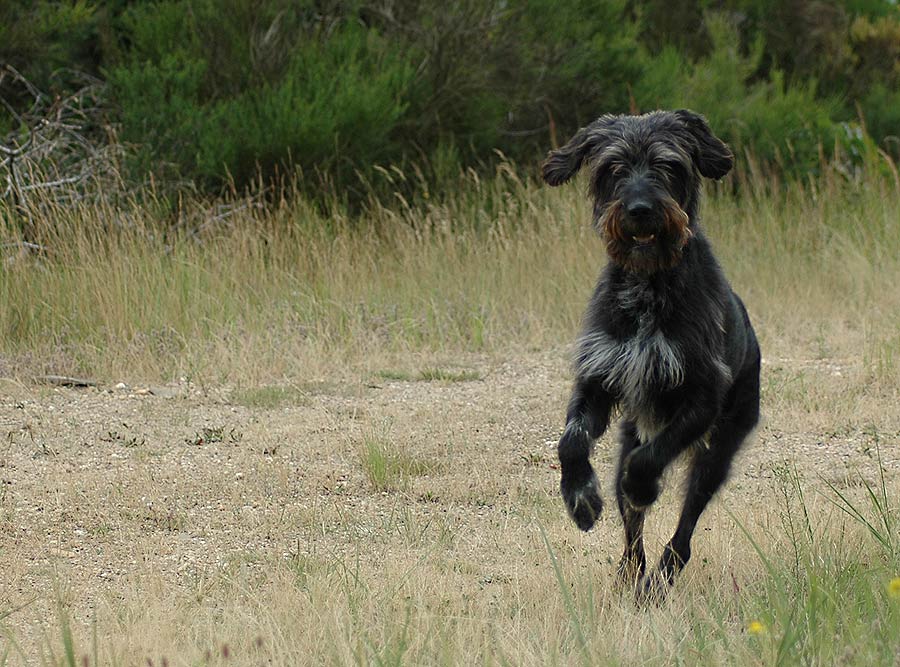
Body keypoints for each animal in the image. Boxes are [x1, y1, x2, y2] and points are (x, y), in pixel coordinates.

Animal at [540, 111, 760, 604]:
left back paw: (661, 576)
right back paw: (631, 573)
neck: (648, 281)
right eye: (614, 168)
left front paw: (643, 486)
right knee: (632, 531)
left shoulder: (701, 396)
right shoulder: (597, 380)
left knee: (684, 528)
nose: (640, 209)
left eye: (667, 165)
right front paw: (580, 497)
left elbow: (647, 462)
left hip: (717, 453)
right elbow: (571, 440)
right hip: (630, 433)